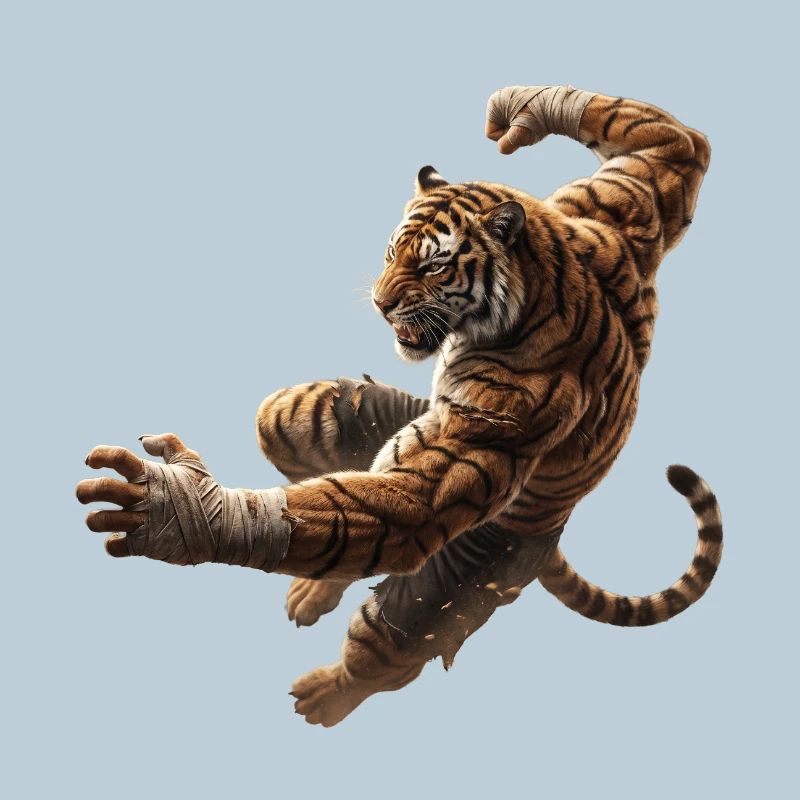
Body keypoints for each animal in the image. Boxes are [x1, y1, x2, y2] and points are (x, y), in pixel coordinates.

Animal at [77, 85, 722, 727]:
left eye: (434, 264)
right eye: (391, 252)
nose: (382, 304)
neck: (546, 271)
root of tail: (551, 533)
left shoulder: (503, 414)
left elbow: (413, 501)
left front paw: (169, 509)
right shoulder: (627, 202)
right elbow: (674, 143)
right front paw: (521, 111)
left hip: (455, 583)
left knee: (383, 643)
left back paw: (322, 694)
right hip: (346, 422)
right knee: (320, 480)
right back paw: (312, 589)